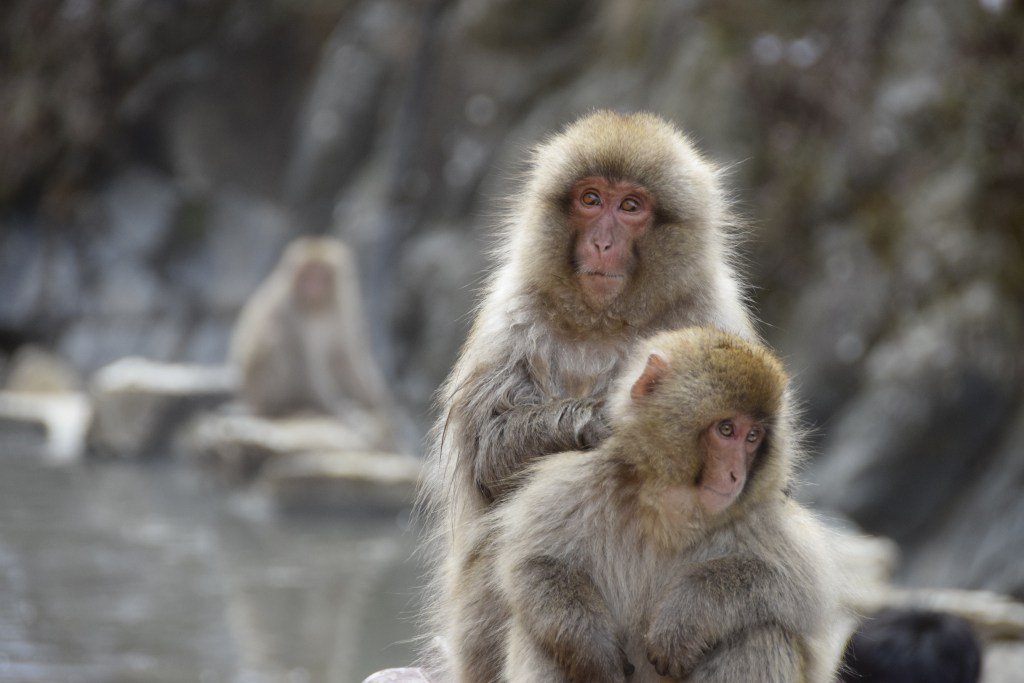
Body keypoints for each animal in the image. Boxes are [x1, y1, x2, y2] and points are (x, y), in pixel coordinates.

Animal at [229, 237, 396, 446]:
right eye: (306, 274)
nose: (312, 285)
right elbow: (306, 367)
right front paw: (341, 412)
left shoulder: (343, 308)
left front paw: (380, 409)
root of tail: (253, 402)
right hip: (263, 390)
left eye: (321, 273)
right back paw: (292, 408)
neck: (318, 307)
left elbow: (345, 359)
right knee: (274, 343)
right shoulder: (288, 312)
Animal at [417, 111, 757, 672]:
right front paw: (602, 422)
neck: (606, 320)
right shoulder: (514, 312)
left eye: (631, 207)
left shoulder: (713, 317)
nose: (601, 242)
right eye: (591, 199)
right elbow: (489, 455)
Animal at [449, 327, 842, 682]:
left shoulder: (762, 514)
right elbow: (535, 562)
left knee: (760, 632)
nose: (735, 475)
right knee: (543, 639)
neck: (671, 503)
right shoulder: (583, 478)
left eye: (753, 437)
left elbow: (802, 592)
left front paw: (686, 615)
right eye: (727, 429)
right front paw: (594, 650)